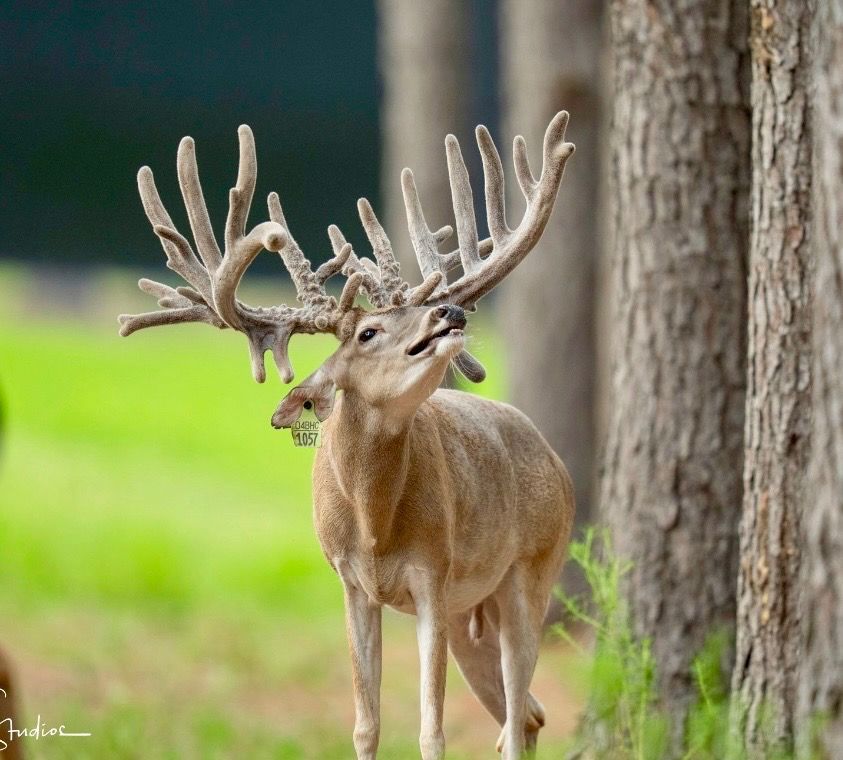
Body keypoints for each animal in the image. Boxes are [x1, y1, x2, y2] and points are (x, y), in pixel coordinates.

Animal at [118, 111, 576, 759]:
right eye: (368, 332)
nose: (451, 312)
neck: (374, 524)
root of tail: (555, 460)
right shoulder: (350, 581)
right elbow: (365, 722)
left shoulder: (433, 575)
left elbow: (431, 728)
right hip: (475, 611)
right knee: (528, 715)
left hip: (531, 571)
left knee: (518, 713)